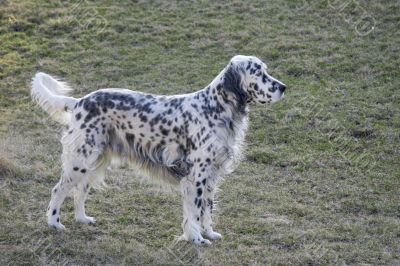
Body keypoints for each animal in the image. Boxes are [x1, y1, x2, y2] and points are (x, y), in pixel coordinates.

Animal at [32, 55, 288, 245]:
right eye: (258, 73)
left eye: (266, 70)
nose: (284, 87)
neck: (215, 108)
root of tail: (79, 102)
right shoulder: (196, 175)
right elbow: (195, 211)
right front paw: (196, 238)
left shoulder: (212, 175)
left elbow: (208, 208)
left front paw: (209, 233)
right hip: (81, 159)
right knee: (59, 189)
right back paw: (54, 223)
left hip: (95, 161)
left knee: (80, 191)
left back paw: (82, 218)